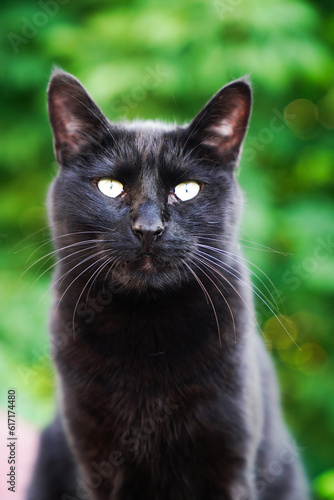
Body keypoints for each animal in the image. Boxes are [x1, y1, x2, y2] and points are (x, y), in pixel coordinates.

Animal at [26, 70, 310, 500]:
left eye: (187, 190)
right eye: (110, 186)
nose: (149, 228)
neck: (149, 333)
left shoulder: (230, 461)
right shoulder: (96, 462)